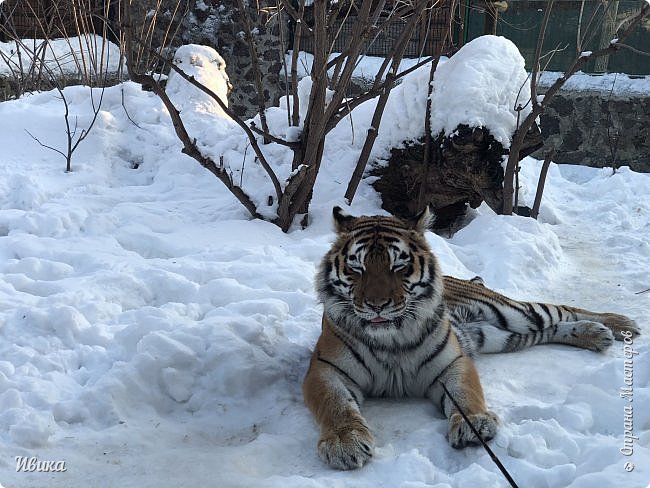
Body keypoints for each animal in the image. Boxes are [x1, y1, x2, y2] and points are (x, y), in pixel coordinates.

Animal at [304, 206, 636, 468]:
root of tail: (464, 280)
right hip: (503, 336)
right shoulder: (325, 369)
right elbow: (335, 404)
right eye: (356, 268)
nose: (377, 305)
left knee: (563, 310)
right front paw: (344, 443)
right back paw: (597, 335)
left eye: (398, 266)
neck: (391, 338)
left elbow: (465, 394)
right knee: (547, 330)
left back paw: (620, 324)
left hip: (516, 312)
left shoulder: (453, 362)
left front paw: (473, 423)